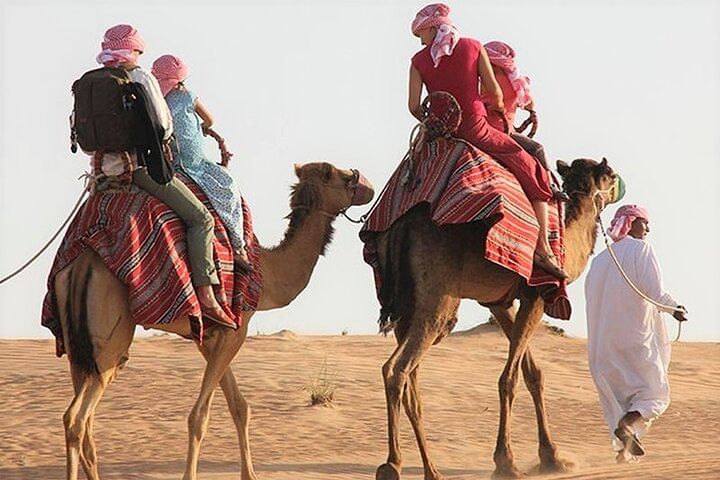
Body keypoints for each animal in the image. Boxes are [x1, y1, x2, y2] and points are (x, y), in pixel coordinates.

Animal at [52, 162, 374, 480]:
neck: (267, 273)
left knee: (83, 421)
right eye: (345, 177)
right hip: (110, 341)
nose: (369, 188)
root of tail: (83, 262)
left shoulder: (209, 336)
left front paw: (250, 475)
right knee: (77, 418)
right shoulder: (236, 329)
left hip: (77, 346)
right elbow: (200, 416)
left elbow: (239, 406)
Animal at [373, 157, 619, 479]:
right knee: (397, 369)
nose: (621, 187)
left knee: (412, 385)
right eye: (610, 175)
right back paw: (392, 464)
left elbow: (533, 373)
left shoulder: (499, 303)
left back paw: (431, 470)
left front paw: (552, 457)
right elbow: (509, 378)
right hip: (437, 301)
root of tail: (403, 228)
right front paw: (506, 462)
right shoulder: (537, 295)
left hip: (407, 307)